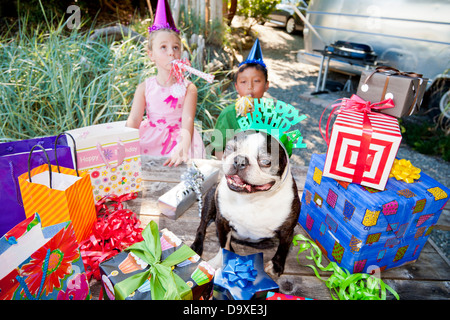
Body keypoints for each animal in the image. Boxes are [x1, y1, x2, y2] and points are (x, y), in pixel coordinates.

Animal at [192, 131, 300, 276]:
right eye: (229, 148)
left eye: (266, 162)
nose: (240, 160)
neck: (252, 199)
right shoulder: (222, 221)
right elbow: (223, 243)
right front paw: (220, 261)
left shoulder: (287, 230)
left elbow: (283, 248)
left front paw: (276, 266)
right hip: (210, 199)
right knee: (202, 225)